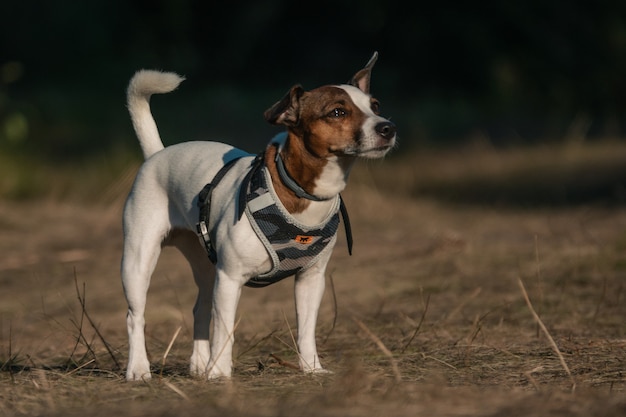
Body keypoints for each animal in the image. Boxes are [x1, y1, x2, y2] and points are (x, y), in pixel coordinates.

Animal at [122, 52, 394, 380]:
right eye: (338, 112)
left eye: (375, 106)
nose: (388, 127)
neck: (300, 194)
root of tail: (156, 154)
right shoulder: (230, 278)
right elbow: (225, 330)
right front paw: (220, 373)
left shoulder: (311, 279)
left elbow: (306, 330)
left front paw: (311, 368)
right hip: (138, 261)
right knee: (136, 316)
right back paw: (140, 368)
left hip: (206, 265)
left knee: (201, 309)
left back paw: (199, 365)